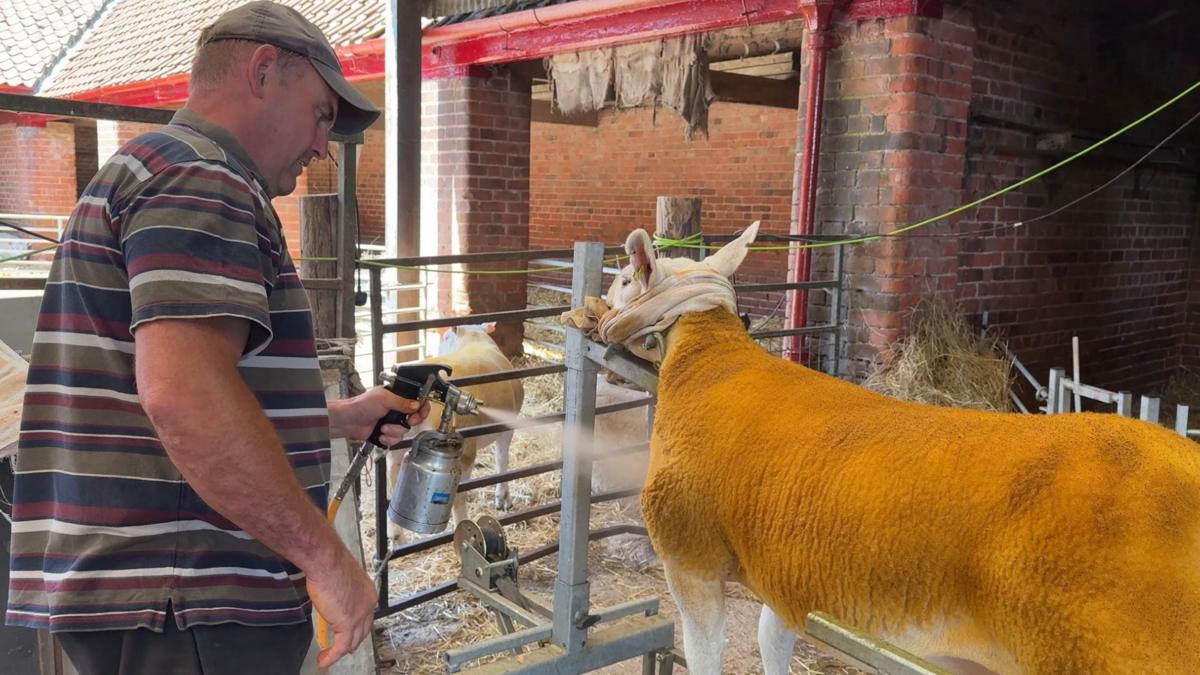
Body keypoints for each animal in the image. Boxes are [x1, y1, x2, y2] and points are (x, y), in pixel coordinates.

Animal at [386, 323, 523, 545]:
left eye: (444, 338)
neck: (474, 338)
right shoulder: (506, 429)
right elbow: (502, 462)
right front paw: (503, 498)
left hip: (397, 446)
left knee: (392, 483)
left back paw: (397, 535)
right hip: (463, 452)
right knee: (458, 497)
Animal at [598, 222, 1200, 674]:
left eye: (624, 277)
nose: (599, 307)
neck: (708, 362)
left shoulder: (690, 555)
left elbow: (706, 653)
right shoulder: (784, 572)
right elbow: (772, 640)